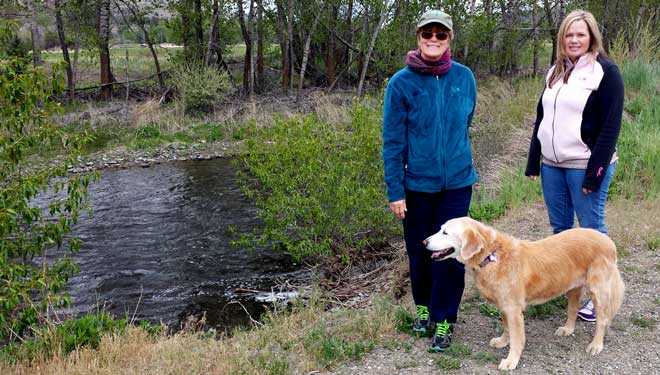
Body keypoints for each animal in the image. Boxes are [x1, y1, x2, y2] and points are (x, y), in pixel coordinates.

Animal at [422, 216, 624, 372]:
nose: (424, 242)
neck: (491, 255)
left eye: (445, 232)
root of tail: (608, 240)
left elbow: (517, 338)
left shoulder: (513, 309)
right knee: (572, 310)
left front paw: (511, 361)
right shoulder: (504, 306)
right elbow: (506, 329)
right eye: (440, 229)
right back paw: (567, 329)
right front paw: (502, 341)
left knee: (602, 320)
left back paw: (596, 345)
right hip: (573, 288)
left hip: (598, 291)